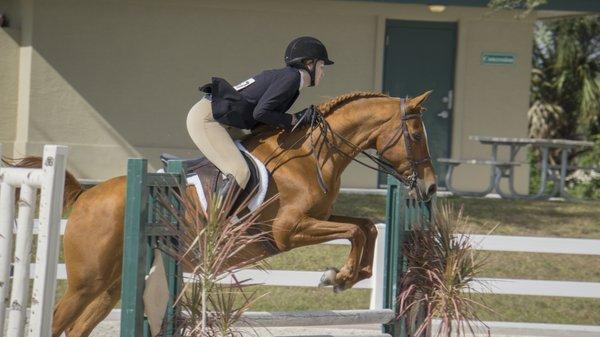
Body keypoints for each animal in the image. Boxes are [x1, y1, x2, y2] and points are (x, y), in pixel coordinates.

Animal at [8, 90, 436, 334]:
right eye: (416, 135)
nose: (430, 188)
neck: (313, 155)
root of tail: (86, 196)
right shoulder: (288, 230)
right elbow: (356, 231)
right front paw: (341, 276)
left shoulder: (316, 219)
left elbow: (366, 227)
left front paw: (345, 276)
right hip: (87, 282)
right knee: (58, 319)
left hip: (110, 287)